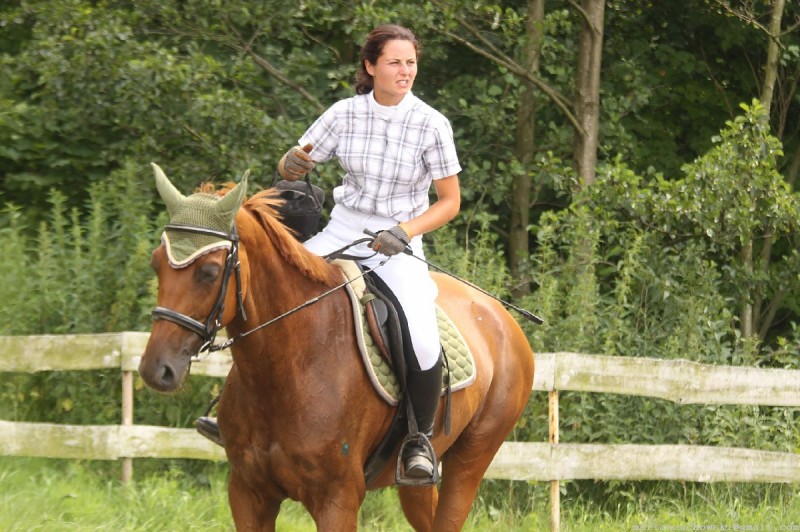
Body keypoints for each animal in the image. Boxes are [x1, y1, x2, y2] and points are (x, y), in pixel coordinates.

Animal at [138, 164, 535, 531]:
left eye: (208, 272)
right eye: (156, 264)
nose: (156, 370)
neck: (290, 364)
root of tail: (502, 318)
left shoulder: (337, 499)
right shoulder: (248, 494)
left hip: (471, 460)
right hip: (417, 481)